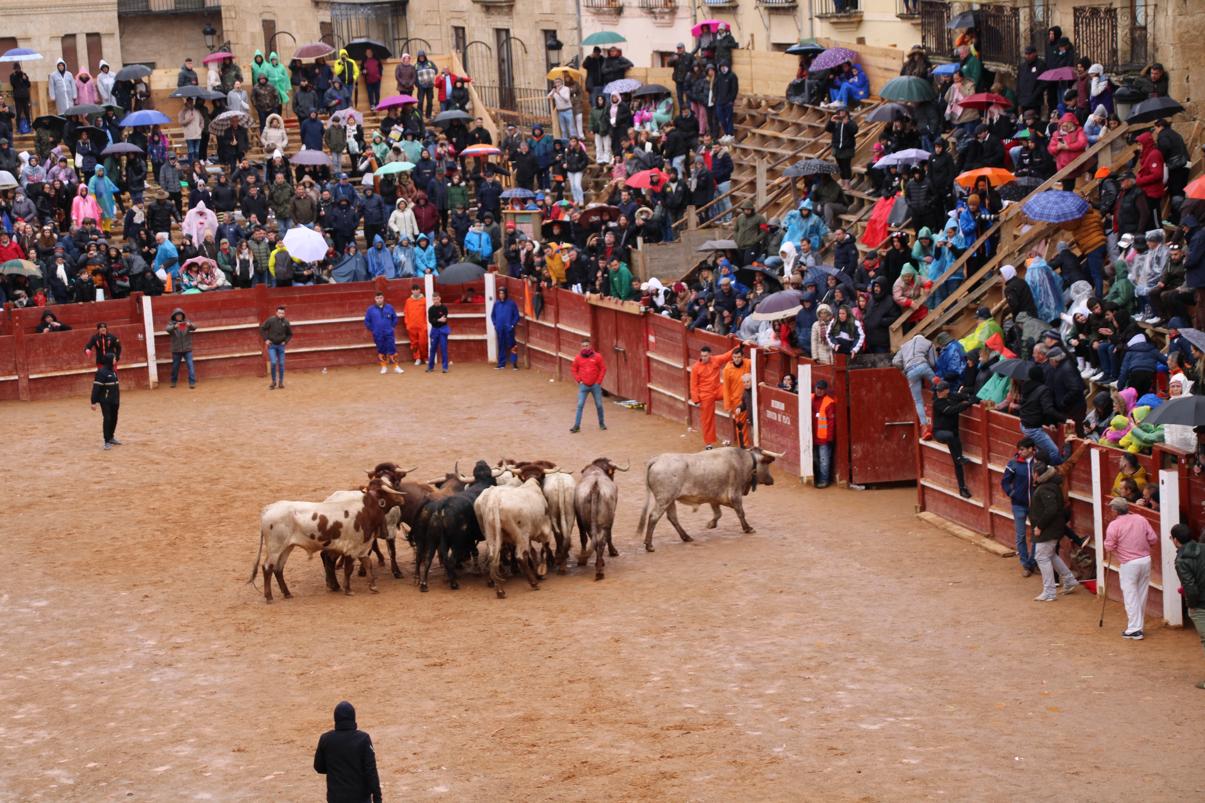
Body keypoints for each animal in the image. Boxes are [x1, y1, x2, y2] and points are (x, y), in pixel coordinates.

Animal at [251, 475, 407, 600]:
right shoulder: (352, 548)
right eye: (388, 490)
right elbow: (348, 569)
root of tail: (268, 509)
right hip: (275, 548)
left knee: (278, 569)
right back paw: (269, 596)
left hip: (286, 547)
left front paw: (373, 586)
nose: (402, 498)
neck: (365, 510)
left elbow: (367, 564)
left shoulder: (362, 546)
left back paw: (287, 593)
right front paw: (348, 590)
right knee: (267, 568)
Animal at [636, 443, 776, 549]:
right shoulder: (735, 495)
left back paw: (686, 537)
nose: (772, 480)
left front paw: (711, 524)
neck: (744, 461)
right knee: (654, 517)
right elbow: (740, 512)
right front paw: (748, 528)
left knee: (672, 518)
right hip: (664, 499)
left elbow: (718, 513)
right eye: (766, 464)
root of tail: (657, 460)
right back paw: (649, 545)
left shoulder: (714, 496)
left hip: (670, 500)